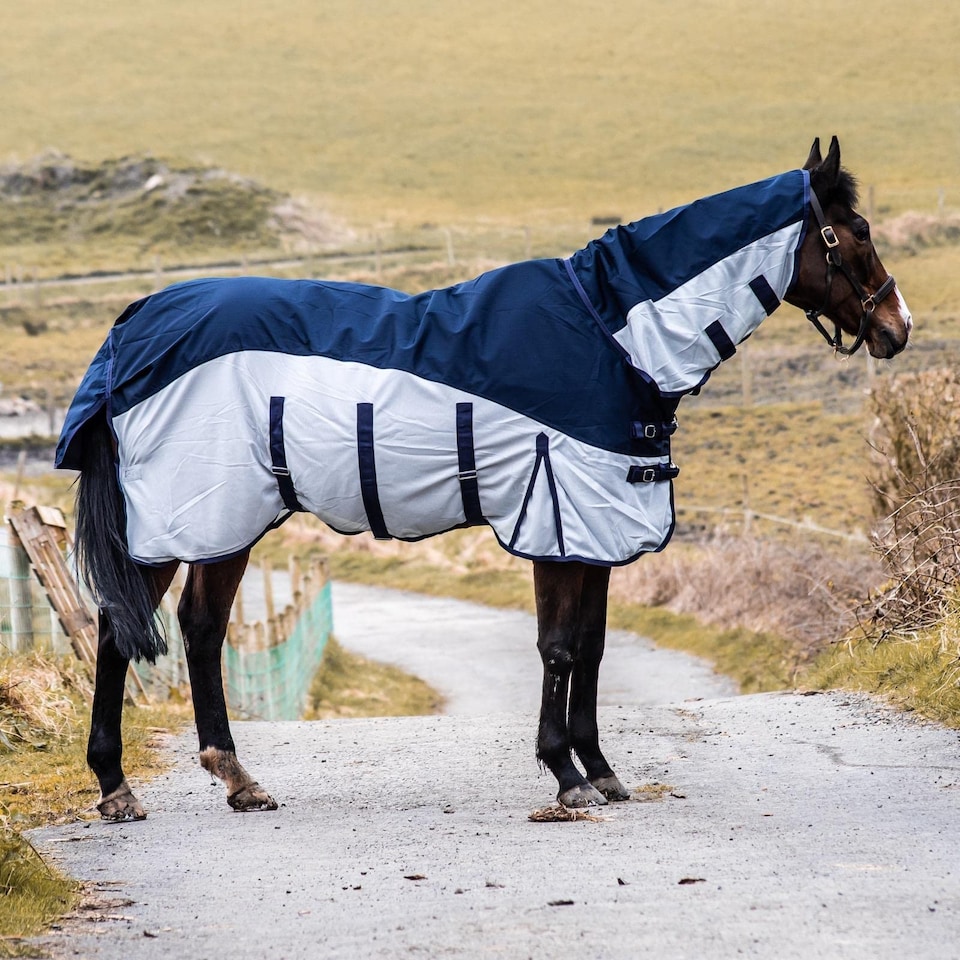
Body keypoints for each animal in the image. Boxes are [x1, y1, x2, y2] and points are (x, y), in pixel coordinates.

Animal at [57, 137, 911, 819]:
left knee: (201, 630)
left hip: (225, 519)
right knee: (117, 628)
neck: (612, 336)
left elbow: (592, 647)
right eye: (855, 234)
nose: (898, 328)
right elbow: (559, 648)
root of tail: (136, 319)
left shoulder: (598, 528)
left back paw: (238, 779)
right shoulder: (559, 521)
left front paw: (601, 770)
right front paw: (565, 774)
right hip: (179, 517)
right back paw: (115, 787)